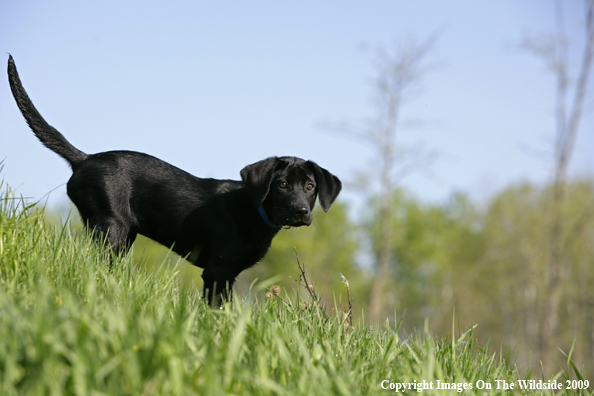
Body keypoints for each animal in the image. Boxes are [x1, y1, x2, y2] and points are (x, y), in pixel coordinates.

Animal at [6, 55, 340, 304]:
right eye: (281, 185)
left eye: (310, 186)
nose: (301, 212)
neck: (254, 210)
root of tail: (84, 159)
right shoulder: (217, 271)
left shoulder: (228, 274)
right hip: (111, 229)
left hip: (122, 235)